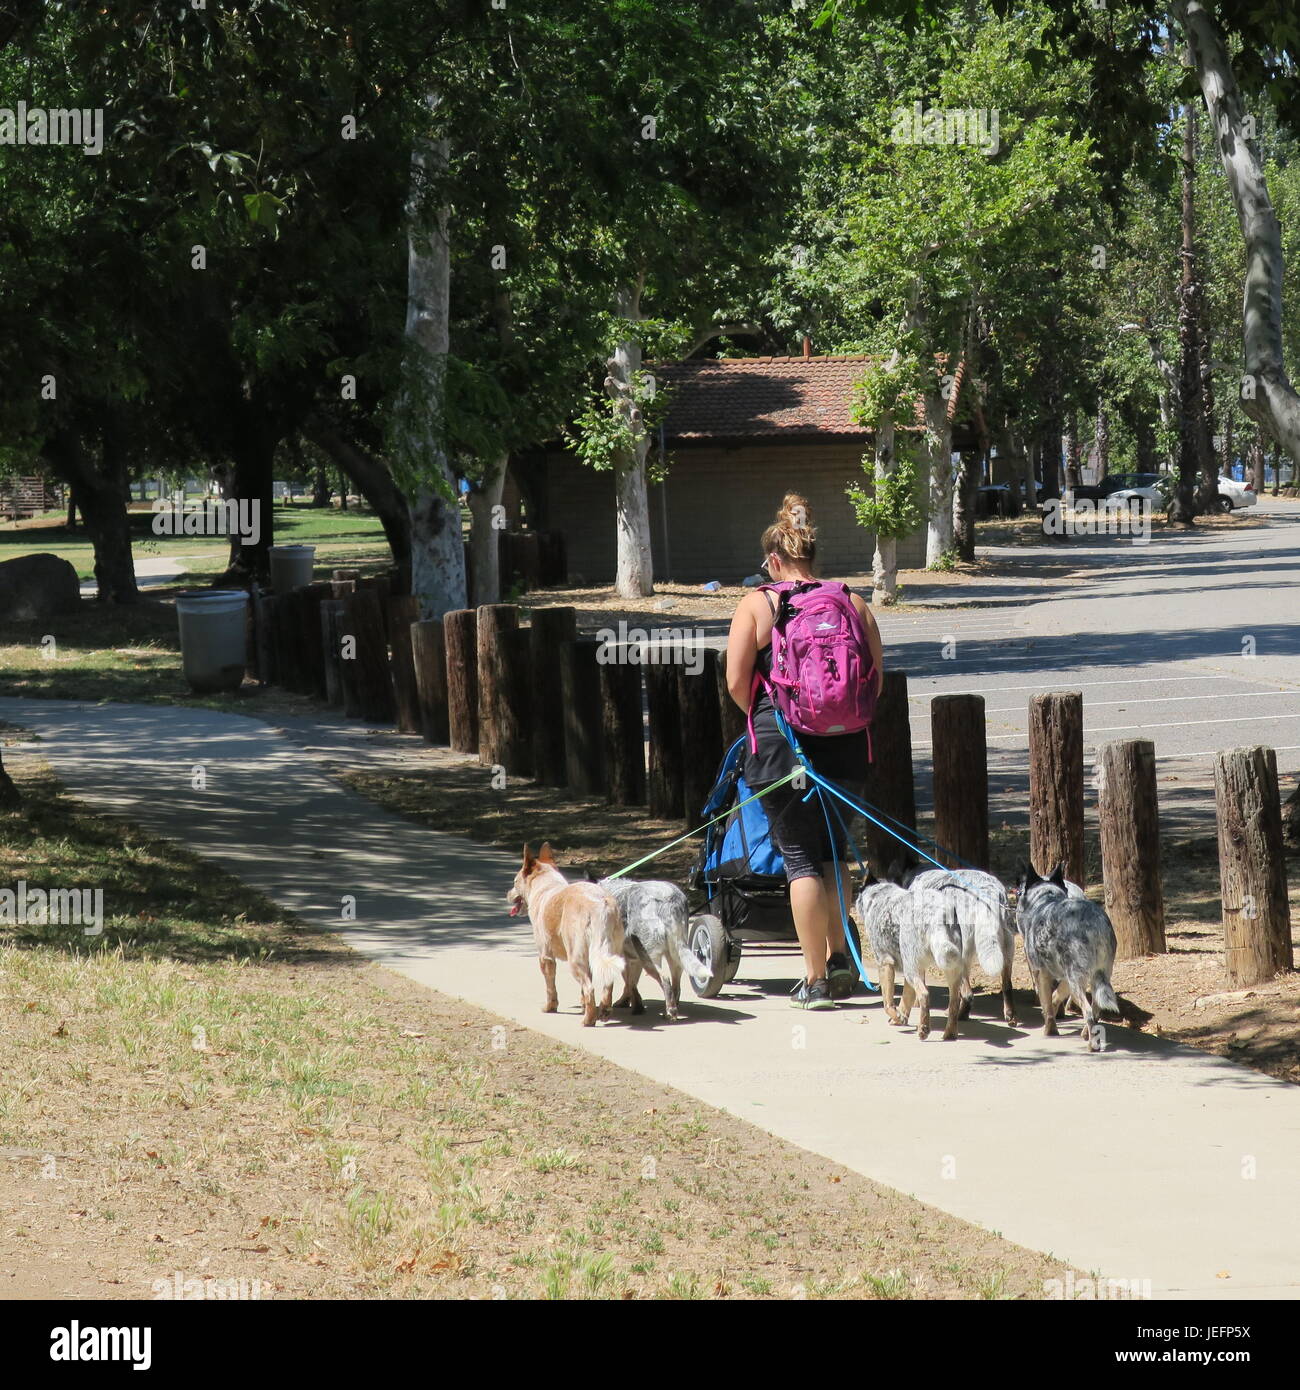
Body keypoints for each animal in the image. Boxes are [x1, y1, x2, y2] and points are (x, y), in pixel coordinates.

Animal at [511, 839, 628, 1028]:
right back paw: (603, 1010)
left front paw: (550, 1007)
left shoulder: (545, 956)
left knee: (589, 987)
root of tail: (600, 904)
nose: (507, 894)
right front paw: (583, 1006)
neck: (546, 886)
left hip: (575, 958)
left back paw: (588, 1020)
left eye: (514, 882)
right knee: (607, 982)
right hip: (610, 950)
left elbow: (550, 986)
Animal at [1012, 861, 1123, 1045]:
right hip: (1099, 975)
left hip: (1077, 978)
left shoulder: (1041, 973)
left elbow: (1047, 1005)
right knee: (1096, 1009)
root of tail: (1095, 925)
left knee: (1089, 1012)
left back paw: (1091, 1043)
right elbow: (1056, 996)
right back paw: (1087, 1034)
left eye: (1020, 891)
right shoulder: (1063, 977)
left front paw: (1050, 1030)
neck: (1045, 898)